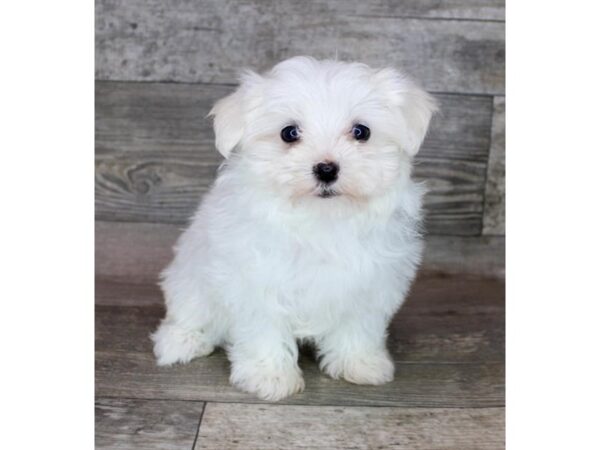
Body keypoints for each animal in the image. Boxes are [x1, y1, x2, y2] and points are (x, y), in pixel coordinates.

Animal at [152, 56, 438, 400]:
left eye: (361, 131)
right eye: (289, 133)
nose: (326, 169)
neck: (321, 218)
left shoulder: (369, 280)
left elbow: (358, 324)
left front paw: (359, 362)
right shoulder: (256, 278)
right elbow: (263, 327)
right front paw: (269, 375)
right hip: (190, 277)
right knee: (190, 311)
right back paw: (180, 342)